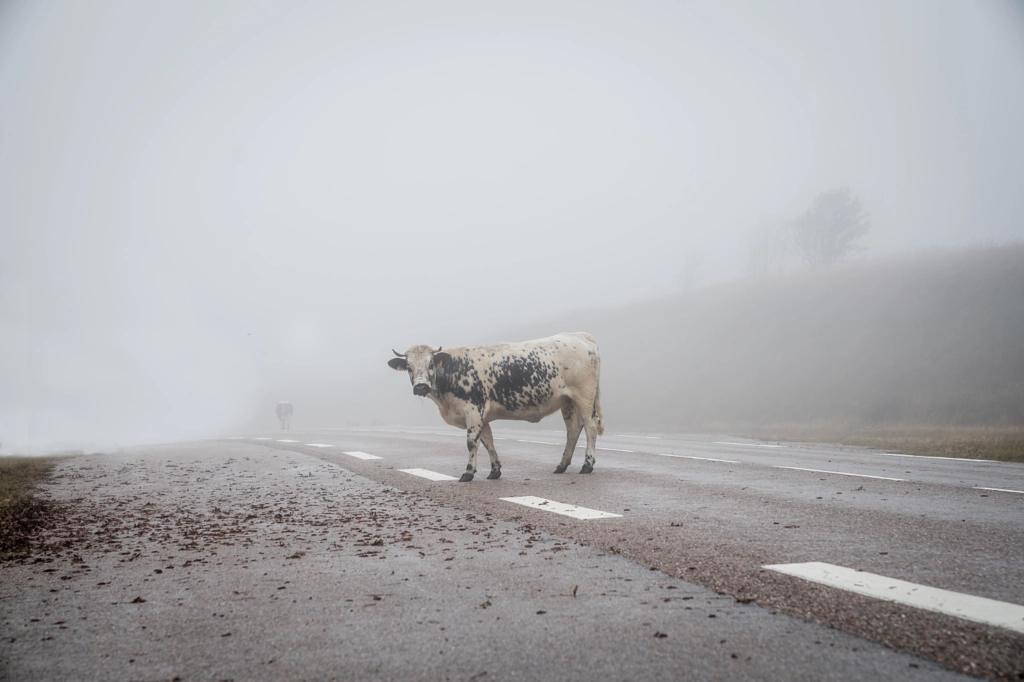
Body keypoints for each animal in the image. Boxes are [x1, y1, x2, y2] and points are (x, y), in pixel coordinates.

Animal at [387, 331, 602, 481]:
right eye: (409, 367)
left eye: (431, 364)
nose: (420, 386)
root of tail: (580, 335)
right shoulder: (481, 416)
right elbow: (488, 441)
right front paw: (495, 471)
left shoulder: (473, 410)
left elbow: (472, 442)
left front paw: (468, 473)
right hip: (568, 401)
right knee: (573, 430)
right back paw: (561, 466)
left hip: (584, 397)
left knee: (590, 428)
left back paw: (587, 465)